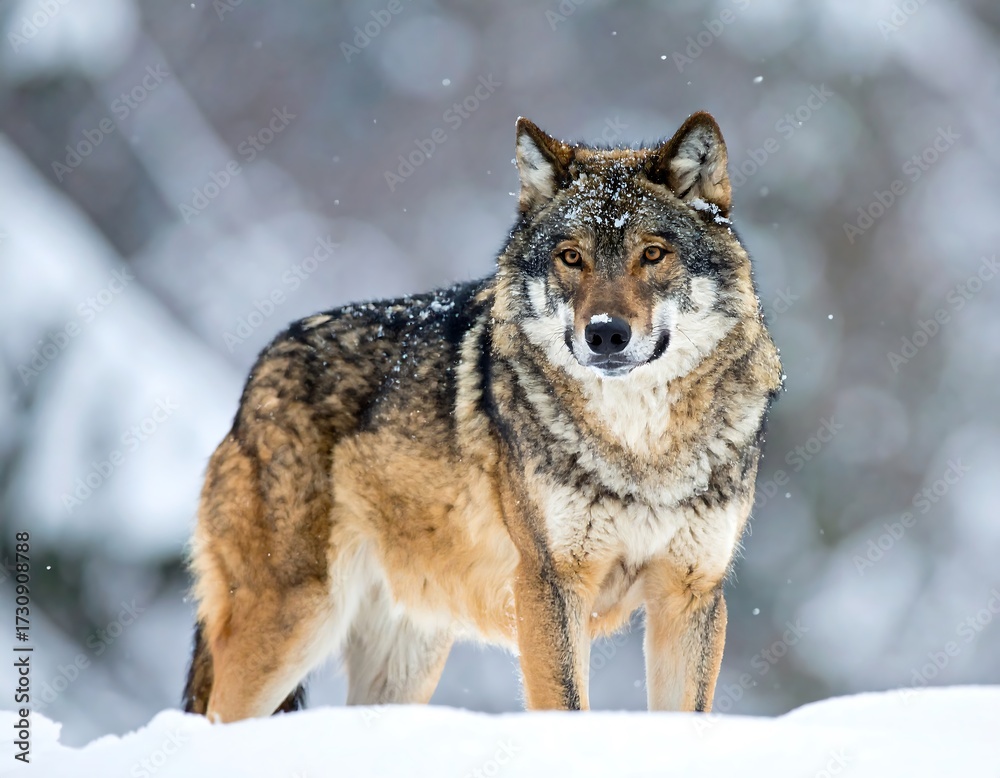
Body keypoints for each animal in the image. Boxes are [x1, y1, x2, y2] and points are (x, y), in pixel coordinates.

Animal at [183, 111, 782, 720]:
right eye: (571, 257)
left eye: (653, 254)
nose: (606, 334)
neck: (640, 448)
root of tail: (257, 373)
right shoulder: (548, 584)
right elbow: (565, 705)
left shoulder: (691, 594)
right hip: (297, 620)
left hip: (405, 663)